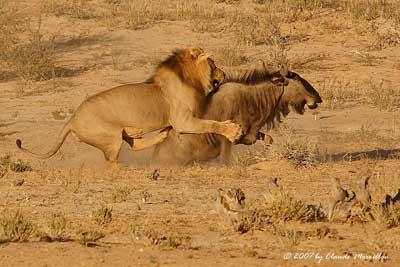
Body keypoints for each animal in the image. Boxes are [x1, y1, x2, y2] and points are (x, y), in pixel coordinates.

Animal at [15, 48, 242, 163]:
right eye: (214, 64)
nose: (224, 74)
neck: (189, 78)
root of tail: (71, 119)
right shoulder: (183, 120)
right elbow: (211, 123)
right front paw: (233, 130)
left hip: (122, 133)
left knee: (136, 145)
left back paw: (163, 135)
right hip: (110, 138)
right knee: (111, 163)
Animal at [149, 69, 322, 165]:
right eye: (297, 80)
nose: (318, 98)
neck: (251, 99)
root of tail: (154, 156)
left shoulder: (250, 134)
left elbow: (268, 139)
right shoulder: (227, 141)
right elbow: (226, 162)